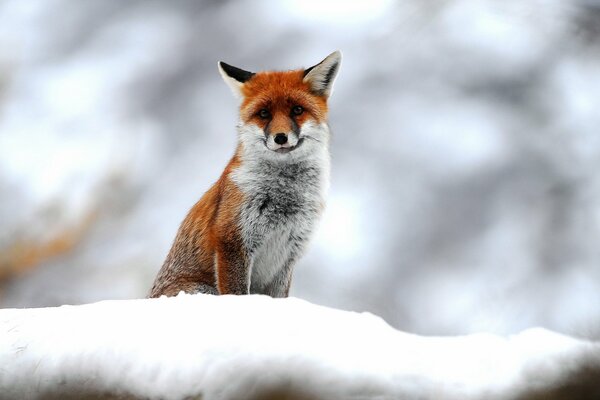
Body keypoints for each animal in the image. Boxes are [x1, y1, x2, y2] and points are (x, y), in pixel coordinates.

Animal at [148, 50, 340, 296]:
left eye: (297, 110)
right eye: (264, 113)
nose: (280, 137)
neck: (285, 197)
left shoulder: (288, 254)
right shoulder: (233, 240)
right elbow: (237, 292)